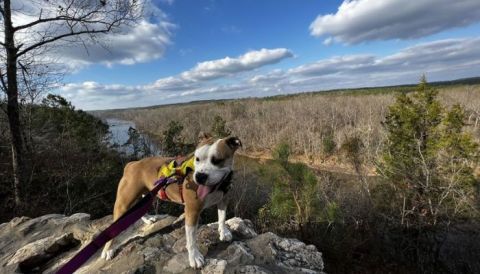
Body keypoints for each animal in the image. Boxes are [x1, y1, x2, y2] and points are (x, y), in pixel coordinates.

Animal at [102, 132, 242, 268]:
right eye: (197, 159)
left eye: (217, 160)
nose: (200, 176)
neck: (218, 186)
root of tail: (132, 164)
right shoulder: (192, 210)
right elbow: (191, 239)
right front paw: (194, 257)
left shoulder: (223, 200)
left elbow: (222, 217)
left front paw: (223, 232)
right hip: (123, 204)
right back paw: (107, 250)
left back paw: (148, 219)